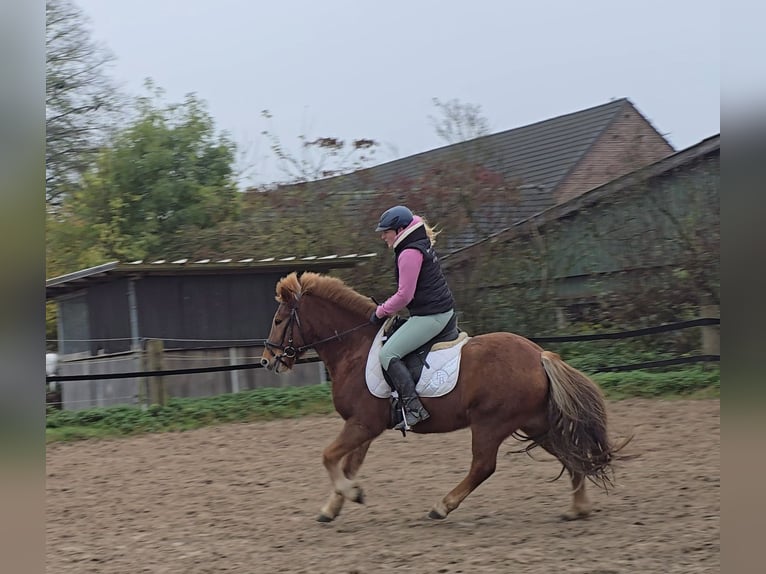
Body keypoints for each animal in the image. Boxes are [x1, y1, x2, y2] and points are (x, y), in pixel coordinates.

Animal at [260, 272, 628, 524]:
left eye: (278, 320)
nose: (268, 361)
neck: (355, 348)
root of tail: (539, 355)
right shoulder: (364, 426)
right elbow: (347, 464)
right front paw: (333, 506)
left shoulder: (363, 423)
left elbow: (328, 456)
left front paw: (351, 493)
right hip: (535, 422)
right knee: (568, 452)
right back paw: (578, 508)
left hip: (491, 423)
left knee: (483, 466)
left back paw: (442, 506)